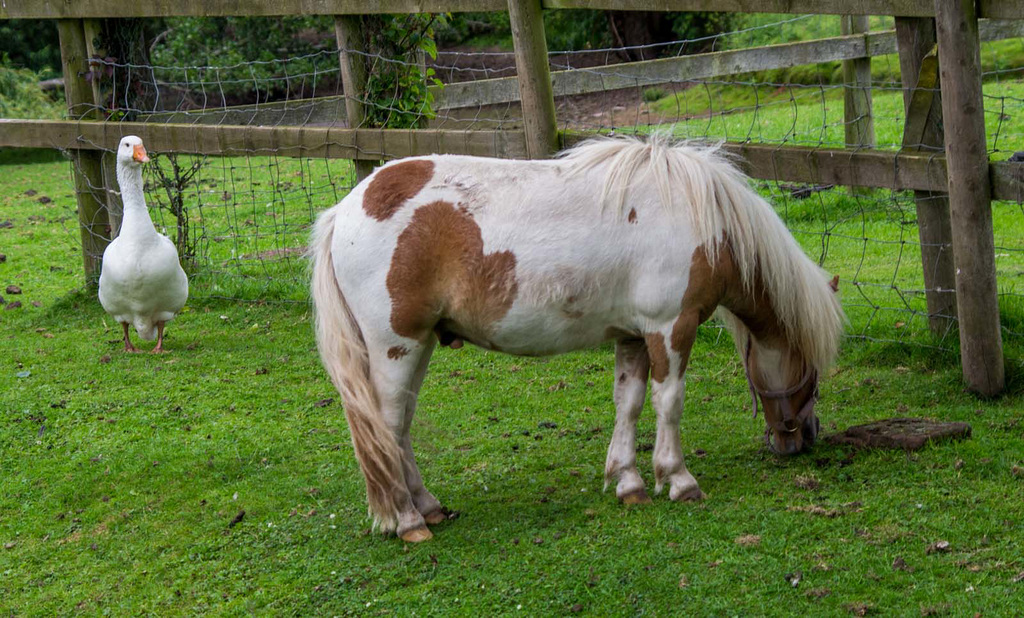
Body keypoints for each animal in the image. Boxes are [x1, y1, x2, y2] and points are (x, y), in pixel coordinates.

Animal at [307, 135, 843, 540]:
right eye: (813, 373)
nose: (805, 438)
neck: (702, 219)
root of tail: (348, 208)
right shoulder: (671, 326)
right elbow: (669, 401)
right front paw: (678, 479)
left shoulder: (634, 335)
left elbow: (629, 403)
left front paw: (629, 483)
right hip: (396, 346)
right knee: (387, 426)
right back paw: (408, 520)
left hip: (417, 347)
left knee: (400, 428)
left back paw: (428, 506)